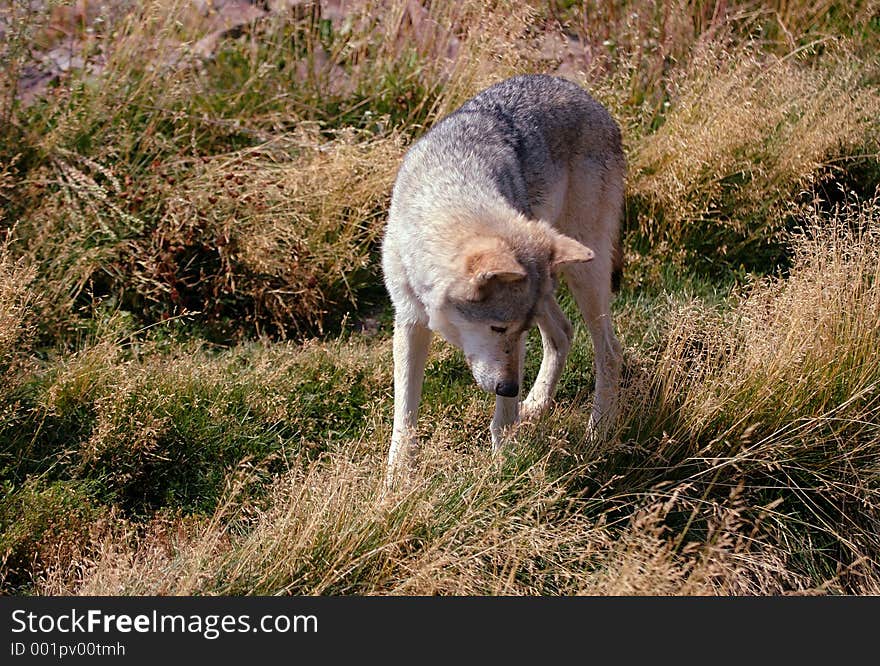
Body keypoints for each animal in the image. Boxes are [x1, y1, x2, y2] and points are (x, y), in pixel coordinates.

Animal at [382, 74, 624, 488]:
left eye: (512, 329)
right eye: (497, 327)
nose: (510, 386)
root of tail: (588, 96)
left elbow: (501, 420)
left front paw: (503, 466)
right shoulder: (410, 321)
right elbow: (406, 417)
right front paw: (397, 480)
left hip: (584, 274)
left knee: (608, 351)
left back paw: (599, 429)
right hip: (550, 287)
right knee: (564, 332)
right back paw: (538, 404)